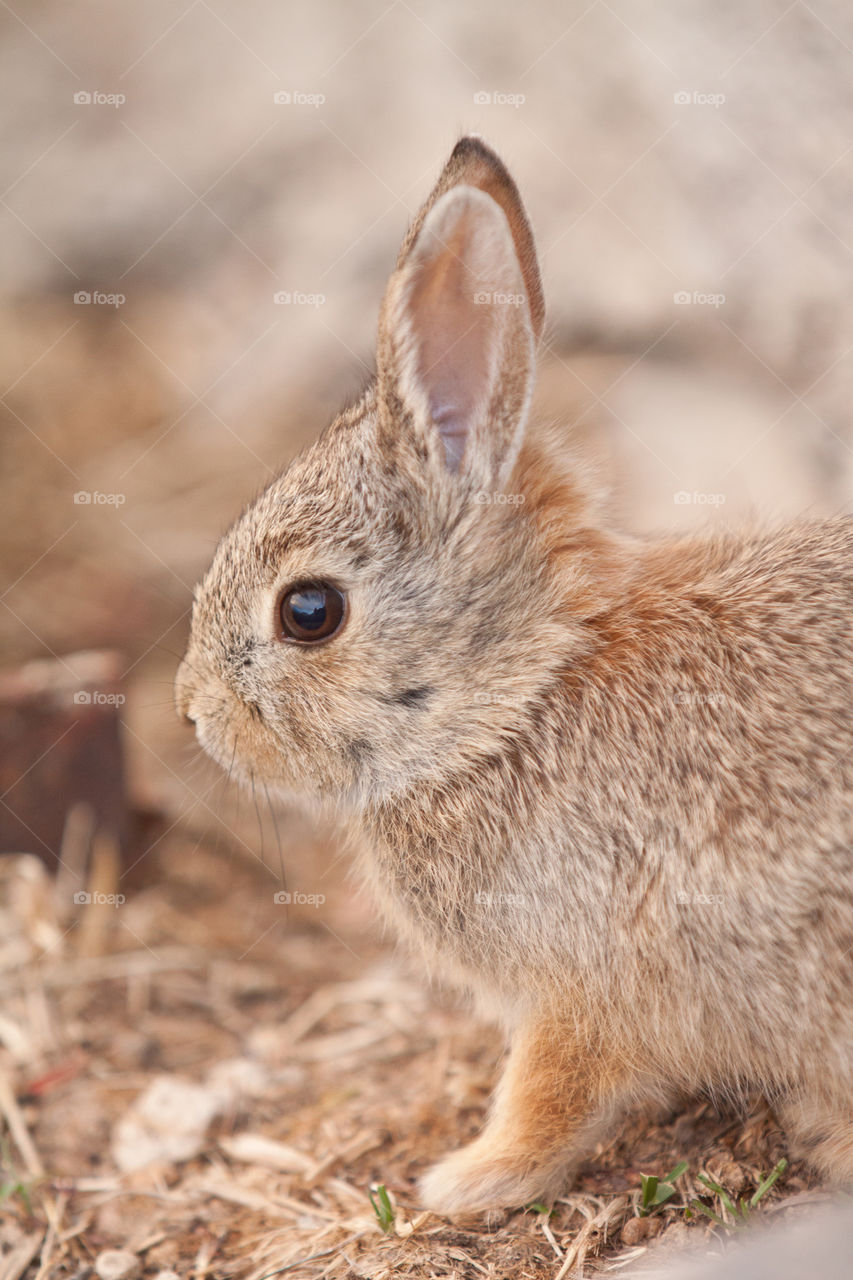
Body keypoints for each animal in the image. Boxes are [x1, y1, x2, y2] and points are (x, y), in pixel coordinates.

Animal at [176, 136, 853, 1215]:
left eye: (308, 611)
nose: (191, 713)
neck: (515, 697)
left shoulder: (582, 982)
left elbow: (548, 1090)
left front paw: (468, 1177)